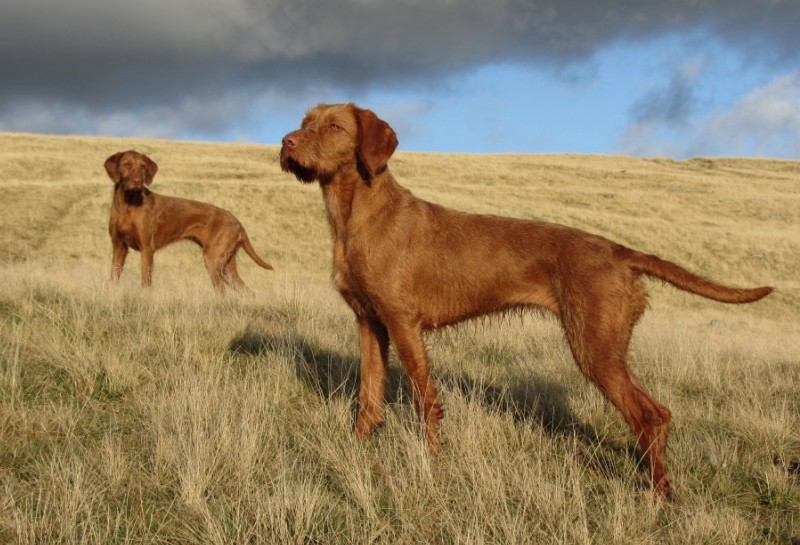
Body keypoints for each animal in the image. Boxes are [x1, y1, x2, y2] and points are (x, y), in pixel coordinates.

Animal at [104, 149, 274, 294]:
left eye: (143, 167)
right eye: (126, 164)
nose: (137, 181)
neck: (128, 205)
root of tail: (238, 223)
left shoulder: (147, 249)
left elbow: (145, 281)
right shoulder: (119, 247)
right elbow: (113, 277)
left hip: (213, 260)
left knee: (221, 291)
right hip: (226, 265)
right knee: (247, 292)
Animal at [280, 103, 776, 498]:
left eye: (335, 127)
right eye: (305, 121)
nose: (285, 142)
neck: (358, 215)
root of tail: (620, 251)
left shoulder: (404, 323)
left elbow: (425, 399)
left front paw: (432, 462)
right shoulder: (369, 322)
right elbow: (369, 396)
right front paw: (358, 448)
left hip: (595, 349)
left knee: (651, 415)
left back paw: (659, 492)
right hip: (605, 347)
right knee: (658, 414)